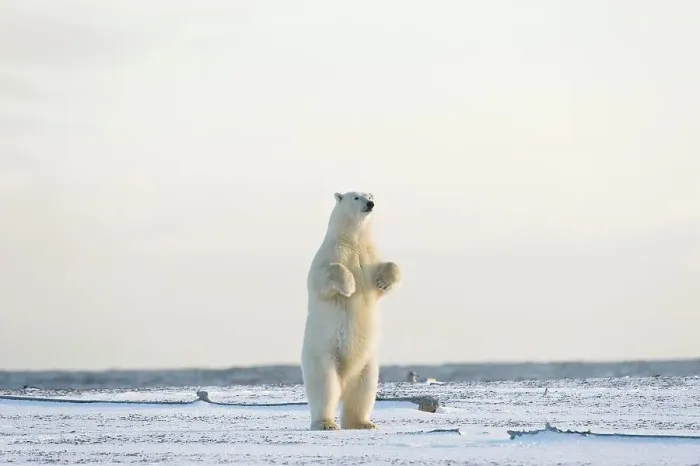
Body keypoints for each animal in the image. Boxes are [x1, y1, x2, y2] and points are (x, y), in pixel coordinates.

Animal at [301, 191, 402, 431]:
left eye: (371, 194)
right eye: (356, 197)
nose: (370, 203)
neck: (353, 241)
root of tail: (345, 378)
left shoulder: (369, 256)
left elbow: (388, 269)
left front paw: (383, 281)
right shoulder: (330, 254)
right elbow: (325, 276)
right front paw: (349, 286)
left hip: (367, 364)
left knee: (363, 391)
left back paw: (362, 423)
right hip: (322, 355)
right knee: (325, 388)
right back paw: (326, 423)